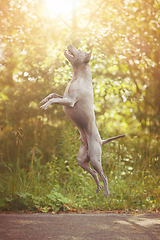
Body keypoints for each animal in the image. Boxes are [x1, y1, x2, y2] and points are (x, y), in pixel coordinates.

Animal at [40, 43, 125, 197]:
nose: (69, 44)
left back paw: (106, 192)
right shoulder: (65, 98)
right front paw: (44, 100)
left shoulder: (69, 101)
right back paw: (98, 188)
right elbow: (53, 95)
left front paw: (46, 105)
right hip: (81, 160)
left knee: (104, 176)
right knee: (94, 174)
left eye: (79, 50)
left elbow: (54, 99)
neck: (77, 77)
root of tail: (101, 141)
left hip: (95, 158)